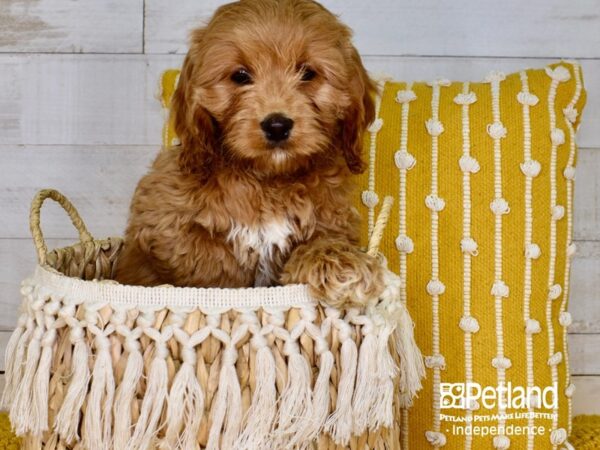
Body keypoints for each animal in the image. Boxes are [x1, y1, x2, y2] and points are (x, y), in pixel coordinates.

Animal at [113, 0, 384, 308]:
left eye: (308, 74)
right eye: (240, 76)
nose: (277, 125)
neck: (268, 180)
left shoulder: (332, 220)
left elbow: (322, 241)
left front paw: (343, 264)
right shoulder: (161, 225)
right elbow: (209, 260)